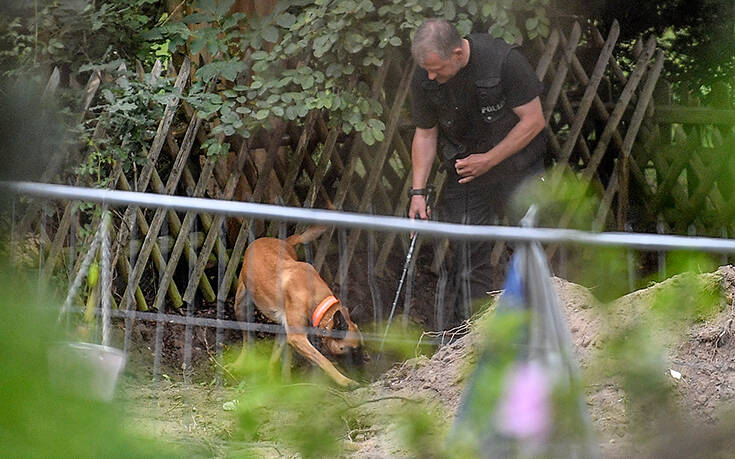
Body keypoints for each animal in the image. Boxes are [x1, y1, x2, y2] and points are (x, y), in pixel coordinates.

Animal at [233, 226, 362, 388]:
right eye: (352, 350)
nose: (364, 371)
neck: (320, 303)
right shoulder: (297, 337)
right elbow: (324, 360)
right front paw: (345, 381)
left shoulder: (289, 333)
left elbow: (280, 357)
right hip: (240, 306)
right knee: (247, 340)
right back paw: (240, 363)